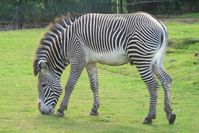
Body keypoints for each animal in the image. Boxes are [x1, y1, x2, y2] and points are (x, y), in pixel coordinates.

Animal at [33, 11, 176, 124]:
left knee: (153, 85)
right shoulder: (90, 62)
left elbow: (70, 85)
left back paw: (149, 117)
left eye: (43, 85)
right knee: (166, 80)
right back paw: (170, 114)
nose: (41, 111)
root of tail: (158, 22)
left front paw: (61, 110)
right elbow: (94, 85)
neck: (65, 44)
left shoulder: (78, 60)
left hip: (142, 59)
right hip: (155, 61)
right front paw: (94, 109)